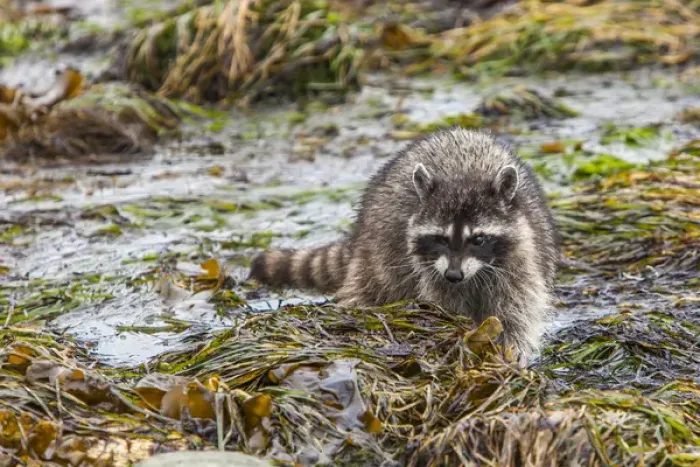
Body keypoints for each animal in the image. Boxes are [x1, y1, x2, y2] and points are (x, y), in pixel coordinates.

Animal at [249, 128, 560, 357]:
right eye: (440, 238)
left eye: (478, 239)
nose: (454, 275)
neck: (465, 175)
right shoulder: (431, 271)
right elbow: (445, 305)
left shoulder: (521, 260)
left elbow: (515, 313)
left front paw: (510, 354)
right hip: (378, 252)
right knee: (372, 284)